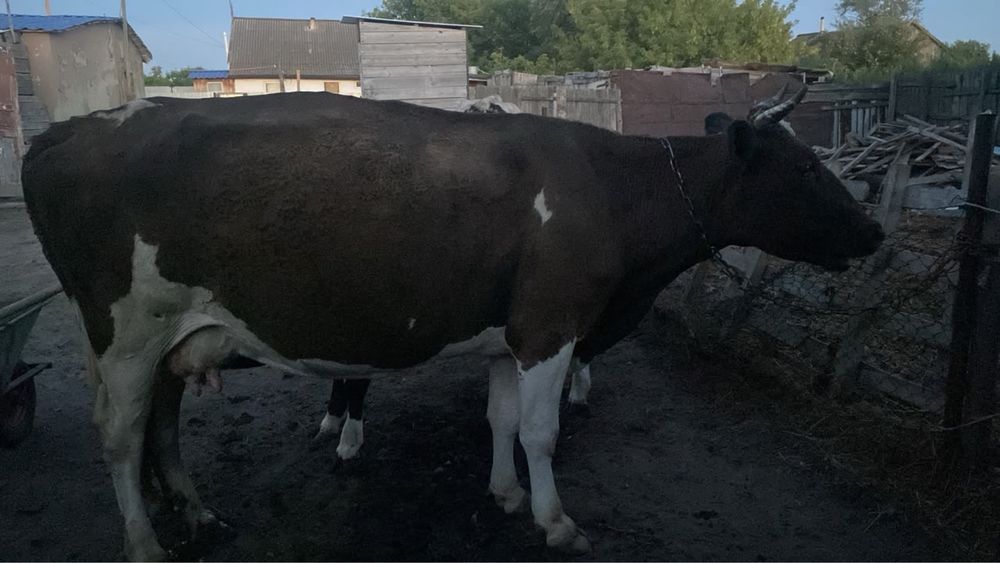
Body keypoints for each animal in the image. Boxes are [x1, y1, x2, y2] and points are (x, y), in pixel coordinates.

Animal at [23, 87, 883, 560]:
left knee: (162, 423)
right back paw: (145, 543)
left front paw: (504, 493)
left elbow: (501, 419)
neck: (610, 187)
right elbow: (540, 430)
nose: (875, 233)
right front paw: (555, 520)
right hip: (125, 331)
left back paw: (198, 514)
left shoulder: (513, 333)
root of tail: (66, 129)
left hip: (170, 338)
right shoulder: (551, 323)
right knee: (120, 435)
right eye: (808, 167)